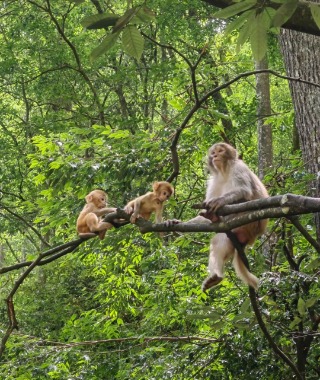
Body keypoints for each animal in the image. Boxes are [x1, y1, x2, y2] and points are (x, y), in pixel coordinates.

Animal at [189, 142, 268, 290]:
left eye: (220, 151)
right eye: (213, 152)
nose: (215, 156)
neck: (224, 171)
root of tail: (252, 237)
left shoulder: (239, 168)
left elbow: (243, 190)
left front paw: (219, 201)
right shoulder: (213, 181)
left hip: (249, 221)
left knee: (243, 199)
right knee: (219, 241)